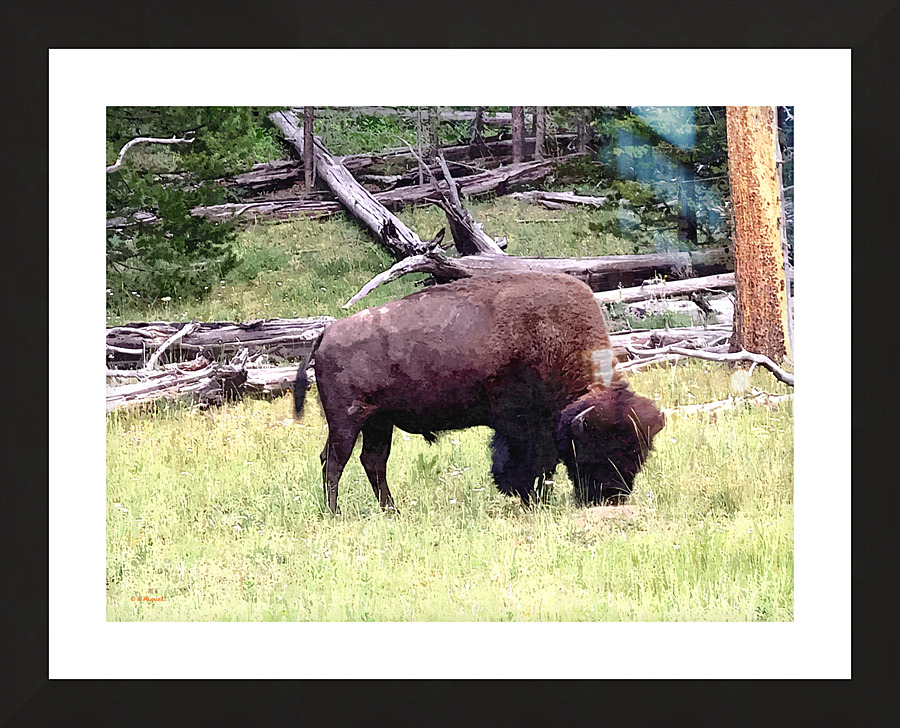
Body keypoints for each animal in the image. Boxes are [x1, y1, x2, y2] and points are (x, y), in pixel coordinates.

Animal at [294, 271, 665, 513]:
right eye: (598, 447)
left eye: (639, 453)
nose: (612, 498)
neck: (551, 338)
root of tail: (327, 332)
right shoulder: (520, 425)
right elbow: (530, 463)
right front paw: (532, 500)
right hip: (347, 421)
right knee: (333, 462)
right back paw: (335, 514)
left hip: (378, 422)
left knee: (372, 462)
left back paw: (392, 512)